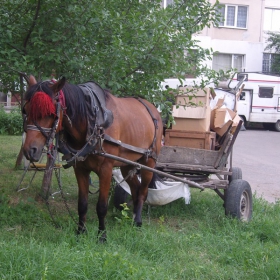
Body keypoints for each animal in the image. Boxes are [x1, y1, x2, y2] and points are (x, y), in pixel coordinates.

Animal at [23, 75, 163, 242]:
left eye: (50, 113)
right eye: (25, 110)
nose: (30, 150)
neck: (93, 121)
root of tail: (153, 109)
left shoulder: (106, 169)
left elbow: (101, 206)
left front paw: (102, 236)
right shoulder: (80, 169)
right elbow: (82, 204)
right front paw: (80, 232)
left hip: (149, 161)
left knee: (142, 192)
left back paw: (138, 222)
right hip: (127, 164)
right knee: (135, 190)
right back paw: (134, 218)